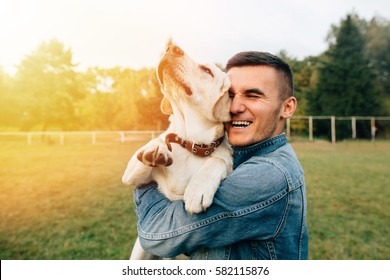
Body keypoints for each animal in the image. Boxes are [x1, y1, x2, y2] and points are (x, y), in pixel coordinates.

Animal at [122, 44, 232, 260]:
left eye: (207, 71)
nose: (172, 47)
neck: (190, 142)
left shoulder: (226, 162)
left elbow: (219, 160)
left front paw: (198, 189)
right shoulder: (133, 177)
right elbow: (158, 140)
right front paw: (156, 147)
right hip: (140, 251)